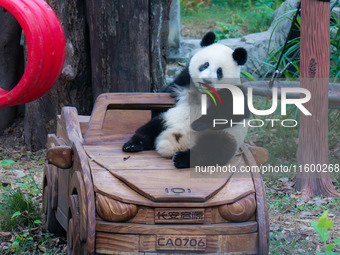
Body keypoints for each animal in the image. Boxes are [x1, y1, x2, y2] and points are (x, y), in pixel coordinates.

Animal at [122, 31, 250, 168]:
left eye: (219, 72)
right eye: (205, 65)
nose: (206, 81)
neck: (202, 93)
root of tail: (177, 144)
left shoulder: (233, 92)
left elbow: (233, 113)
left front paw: (199, 123)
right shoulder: (184, 80)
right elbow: (165, 95)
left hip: (225, 135)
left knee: (214, 149)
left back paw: (182, 159)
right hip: (169, 119)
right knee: (150, 128)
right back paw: (133, 145)